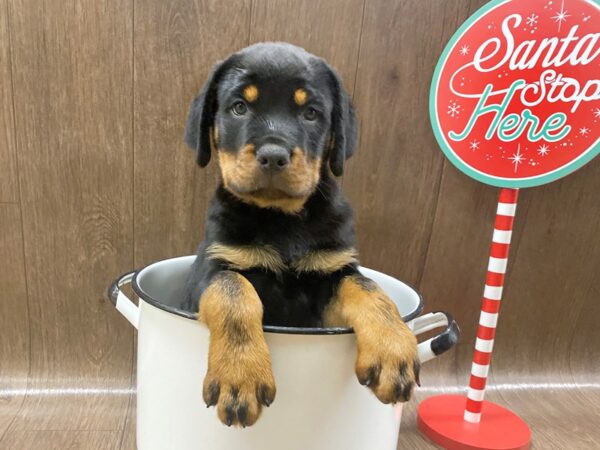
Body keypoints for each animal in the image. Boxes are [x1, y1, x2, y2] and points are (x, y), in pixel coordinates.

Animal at [180, 43, 420, 428]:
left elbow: (368, 288)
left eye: (310, 113)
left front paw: (393, 350)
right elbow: (234, 292)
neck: (282, 219)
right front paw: (241, 376)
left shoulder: (331, 275)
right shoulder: (212, 268)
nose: (273, 155)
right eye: (239, 107)